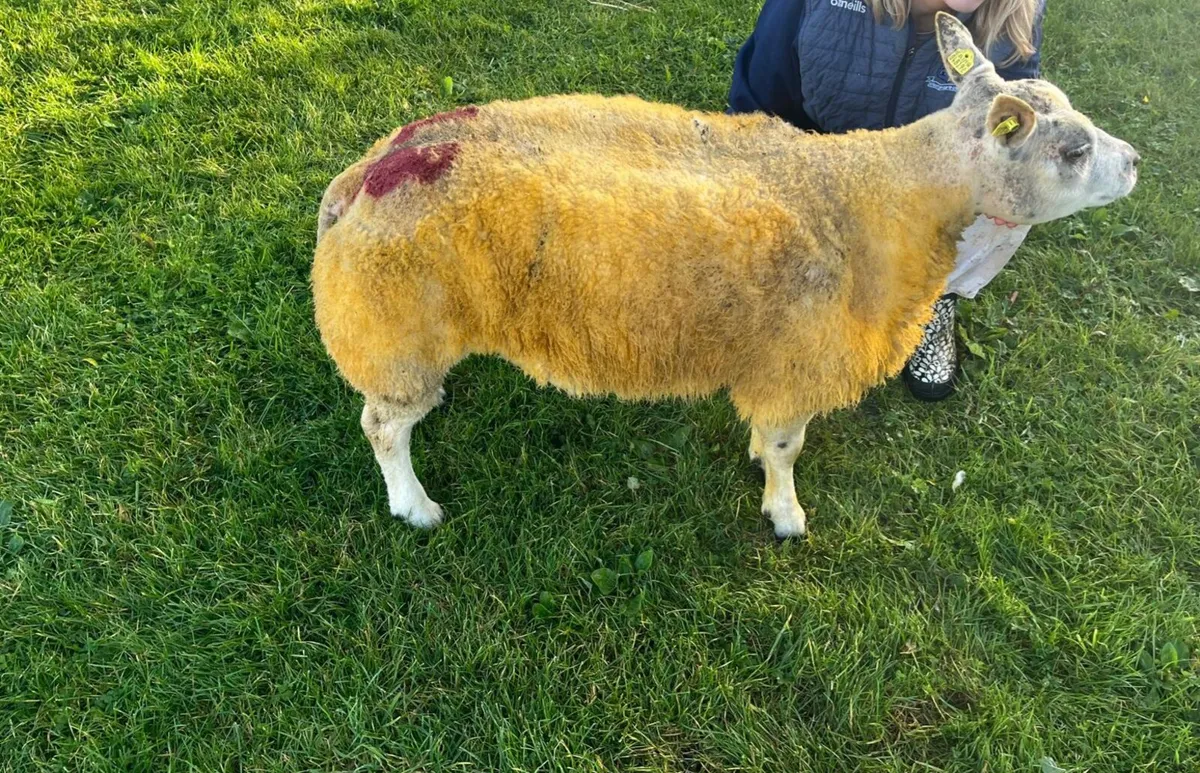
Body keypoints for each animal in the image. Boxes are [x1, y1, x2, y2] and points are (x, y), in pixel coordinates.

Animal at [311, 13, 1139, 538]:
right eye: (1071, 152)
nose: (1134, 162)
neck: (873, 193)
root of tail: (360, 179)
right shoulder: (800, 357)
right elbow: (788, 448)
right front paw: (785, 513)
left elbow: (770, 436)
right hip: (393, 329)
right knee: (382, 426)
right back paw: (413, 505)